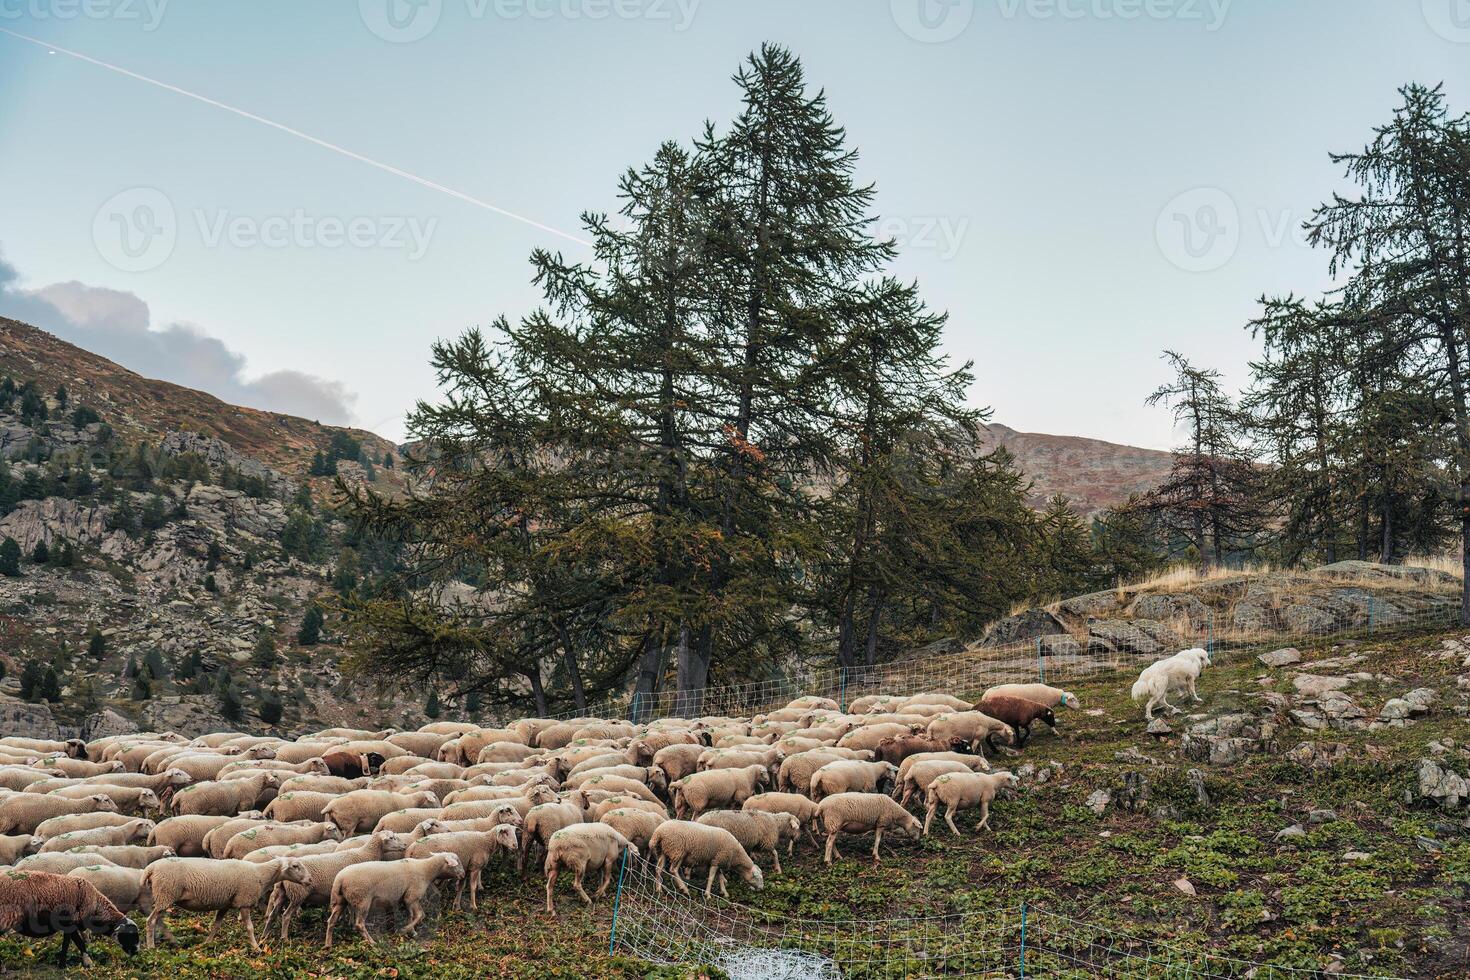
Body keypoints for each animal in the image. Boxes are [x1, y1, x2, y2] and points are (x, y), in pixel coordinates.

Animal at [0, 869, 138, 969]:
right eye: (130, 934)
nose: (137, 952)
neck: (95, 905)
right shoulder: (70, 922)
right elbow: (70, 943)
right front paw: (64, 965)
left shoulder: (71, 923)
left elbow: (77, 942)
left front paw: (86, 962)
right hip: (5, 916)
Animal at [141, 858, 311, 952]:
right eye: (295, 866)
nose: (309, 880)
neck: (261, 874)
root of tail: (150, 868)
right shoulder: (244, 901)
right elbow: (250, 927)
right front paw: (256, 947)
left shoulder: (225, 904)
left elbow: (216, 926)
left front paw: (207, 943)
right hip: (166, 894)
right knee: (150, 921)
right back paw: (151, 947)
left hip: (164, 897)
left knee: (158, 921)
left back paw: (172, 940)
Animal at [324, 852, 461, 946]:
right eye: (457, 863)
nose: (463, 874)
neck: (426, 870)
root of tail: (339, 879)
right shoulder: (412, 896)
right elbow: (420, 915)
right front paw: (404, 930)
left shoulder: (408, 898)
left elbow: (413, 915)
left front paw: (411, 932)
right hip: (363, 900)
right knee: (359, 924)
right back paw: (372, 942)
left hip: (342, 900)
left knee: (331, 920)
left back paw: (328, 944)